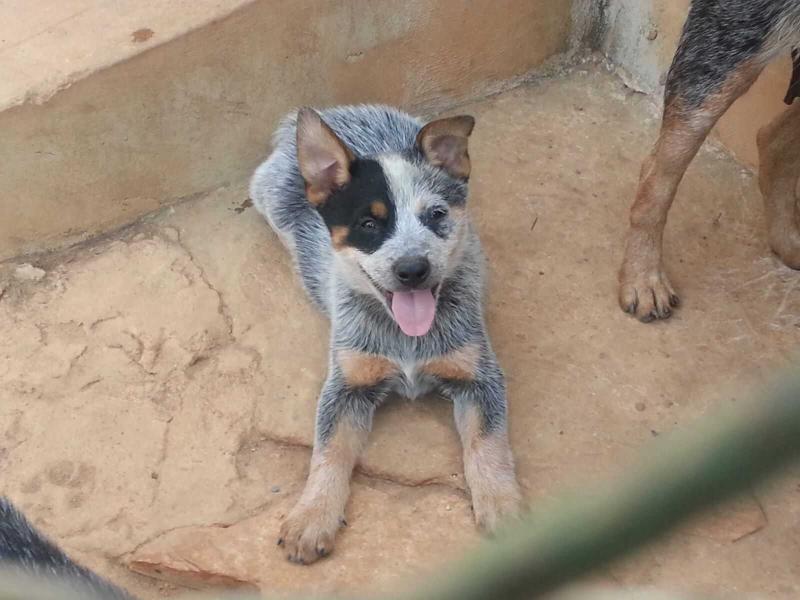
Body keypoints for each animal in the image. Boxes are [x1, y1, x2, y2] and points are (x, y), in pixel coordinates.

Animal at [252, 105, 524, 564]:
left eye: (436, 214)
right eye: (367, 223)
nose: (413, 269)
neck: (406, 338)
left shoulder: (477, 374)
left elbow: (488, 443)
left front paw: (503, 506)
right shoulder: (347, 383)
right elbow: (328, 450)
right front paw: (312, 515)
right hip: (268, 194)